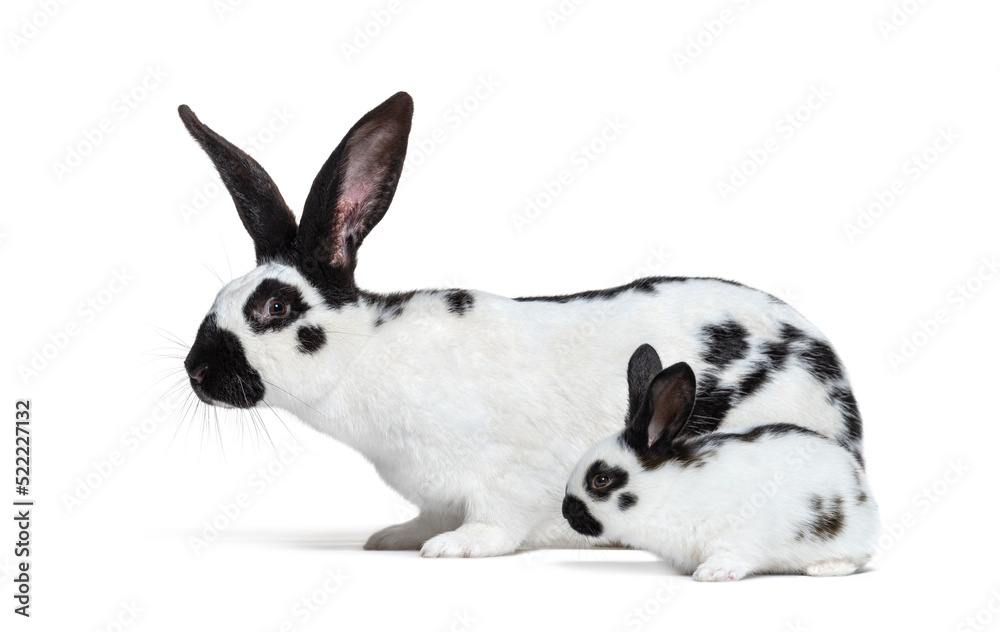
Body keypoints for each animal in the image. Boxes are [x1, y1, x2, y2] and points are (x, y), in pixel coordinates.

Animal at [178, 91, 867, 558]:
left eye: (274, 308)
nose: (197, 372)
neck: (363, 354)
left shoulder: (503, 476)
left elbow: (497, 520)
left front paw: (454, 548)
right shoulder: (435, 493)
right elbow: (429, 516)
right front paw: (396, 537)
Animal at [563, 343, 879, 580]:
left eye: (601, 480)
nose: (566, 511)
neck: (667, 491)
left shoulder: (741, 530)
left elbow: (736, 552)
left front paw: (713, 573)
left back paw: (824, 567)